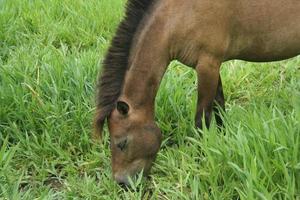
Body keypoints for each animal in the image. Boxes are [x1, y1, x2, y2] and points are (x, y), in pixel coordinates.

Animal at [94, 0, 300, 186]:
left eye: (121, 143)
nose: (121, 183)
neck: (178, 14)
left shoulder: (207, 65)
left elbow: (202, 120)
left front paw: (200, 160)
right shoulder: (213, 66)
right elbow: (219, 108)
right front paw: (222, 142)